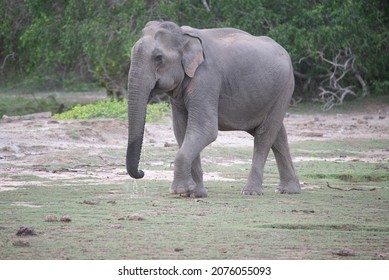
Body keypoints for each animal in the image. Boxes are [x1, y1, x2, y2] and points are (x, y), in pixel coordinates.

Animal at [126, 20, 298, 198]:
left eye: (158, 58)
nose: (142, 172)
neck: (183, 35)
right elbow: (181, 130)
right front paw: (194, 193)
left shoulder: (206, 77)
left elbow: (205, 129)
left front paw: (180, 191)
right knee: (278, 135)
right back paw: (288, 190)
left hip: (285, 87)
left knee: (265, 135)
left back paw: (251, 192)